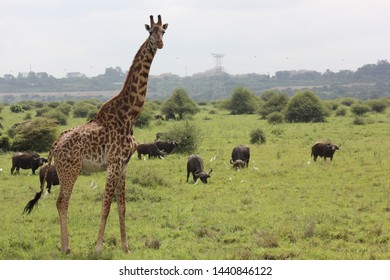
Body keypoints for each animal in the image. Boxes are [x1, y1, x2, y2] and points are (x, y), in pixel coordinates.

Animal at [23, 14, 168, 254]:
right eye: (150, 32)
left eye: (163, 31)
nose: (160, 43)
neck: (130, 115)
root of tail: (55, 144)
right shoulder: (113, 163)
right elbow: (106, 205)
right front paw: (99, 247)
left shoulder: (124, 165)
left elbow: (122, 207)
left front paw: (126, 247)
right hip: (70, 170)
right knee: (62, 202)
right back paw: (66, 248)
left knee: (61, 202)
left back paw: (66, 247)